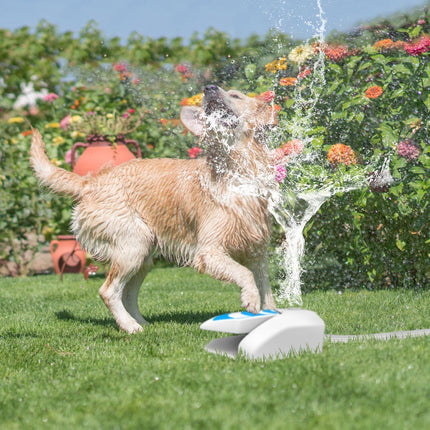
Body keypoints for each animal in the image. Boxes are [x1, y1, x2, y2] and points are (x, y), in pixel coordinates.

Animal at [30, 85, 278, 334]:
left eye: (236, 95)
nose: (209, 88)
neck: (238, 171)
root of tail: (90, 181)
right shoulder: (209, 251)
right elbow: (244, 273)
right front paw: (251, 299)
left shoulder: (257, 252)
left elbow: (265, 287)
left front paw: (271, 313)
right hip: (133, 244)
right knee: (108, 291)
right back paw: (130, 326)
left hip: (142, 256)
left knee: (127, 294)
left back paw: (142, 322)